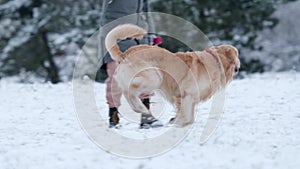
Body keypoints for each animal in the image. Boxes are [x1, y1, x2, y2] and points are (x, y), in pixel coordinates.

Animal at [105, 23, 241, 127]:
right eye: (237, 54)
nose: (239, 66)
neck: (216, 61)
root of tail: (125, 54)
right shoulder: (186, 94)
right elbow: (187, 116)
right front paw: (179, 123)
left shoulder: (189, 98)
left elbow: (188, 115)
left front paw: (175, 120)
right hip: (155, 77)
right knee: (130, 91)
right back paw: (141, 108)